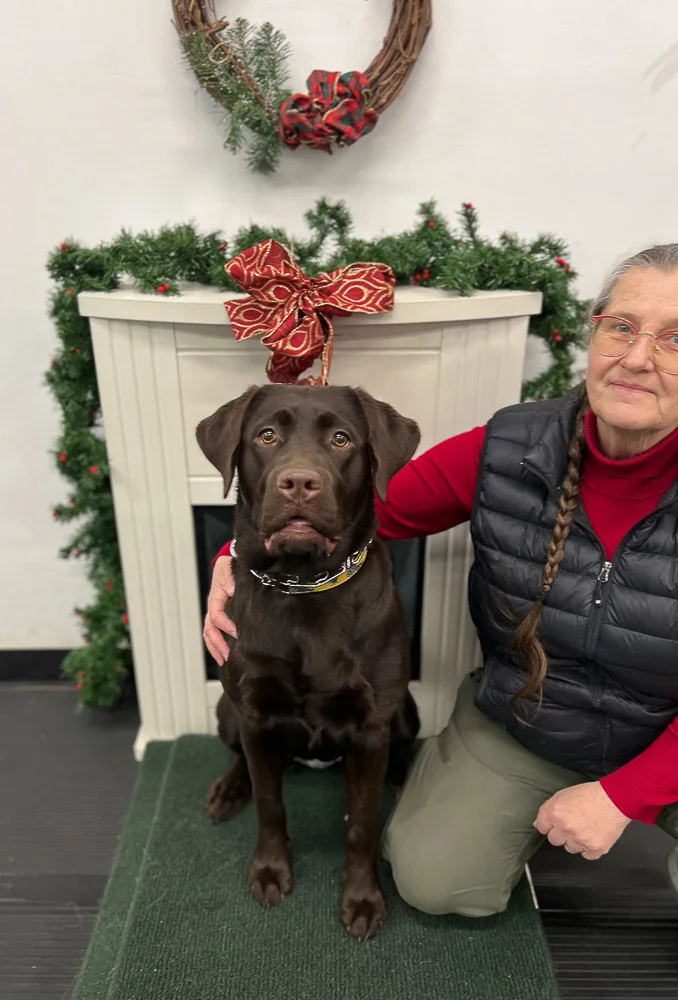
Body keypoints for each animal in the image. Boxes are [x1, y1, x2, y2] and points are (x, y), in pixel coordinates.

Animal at [196, 384, 421, 941]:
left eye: (341, 439)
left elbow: (363, 824)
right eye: (266, 436)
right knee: (245, 763)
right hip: (228, 713)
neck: (304, 587)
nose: (299, 482)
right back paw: (228, 789)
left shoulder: (372, 727)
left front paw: (362, 899)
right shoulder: (254, 715)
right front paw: (270, 871)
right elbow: (269, 804)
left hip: (406, 710)